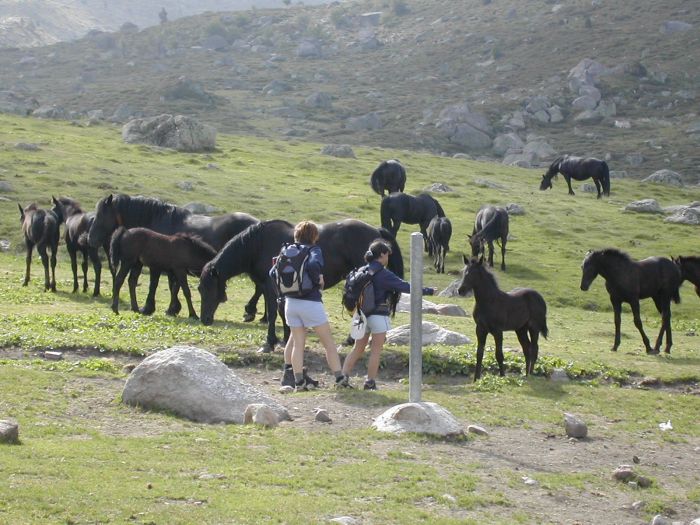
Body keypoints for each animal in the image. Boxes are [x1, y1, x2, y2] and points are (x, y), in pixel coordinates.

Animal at [87, 192, 262, 316]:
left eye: (101, 214)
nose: (90, 239)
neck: (158, 219)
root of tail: (258, 223)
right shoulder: (171, 266)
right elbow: (174, 286)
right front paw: (173, 309)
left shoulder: (158, 266)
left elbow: (156, 285)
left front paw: (150, 308)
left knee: (261, 287)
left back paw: (253, 312)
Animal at [197, 219, 404, 350]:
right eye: (200, 288)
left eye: (208, 288)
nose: (204, 319)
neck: (258, 245)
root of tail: (376, 231)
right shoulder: (274, 288)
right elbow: (282, 312)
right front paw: (285, 338)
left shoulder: (270, 287)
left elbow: (273, 313)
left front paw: (270, 342)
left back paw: (351, 340)